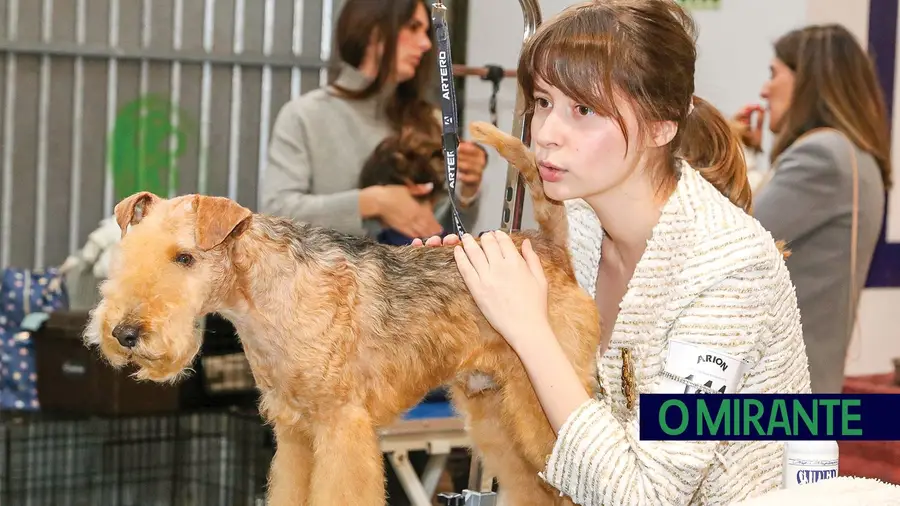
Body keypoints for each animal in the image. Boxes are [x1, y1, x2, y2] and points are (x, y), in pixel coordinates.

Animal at [84, 122, 600, 506]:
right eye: (129, 252)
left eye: (184, 257)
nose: (124, 333)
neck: (265, 296)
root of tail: (549, 246)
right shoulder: (293, 432)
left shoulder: (340, 426)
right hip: (495, 412)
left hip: (541, 407)